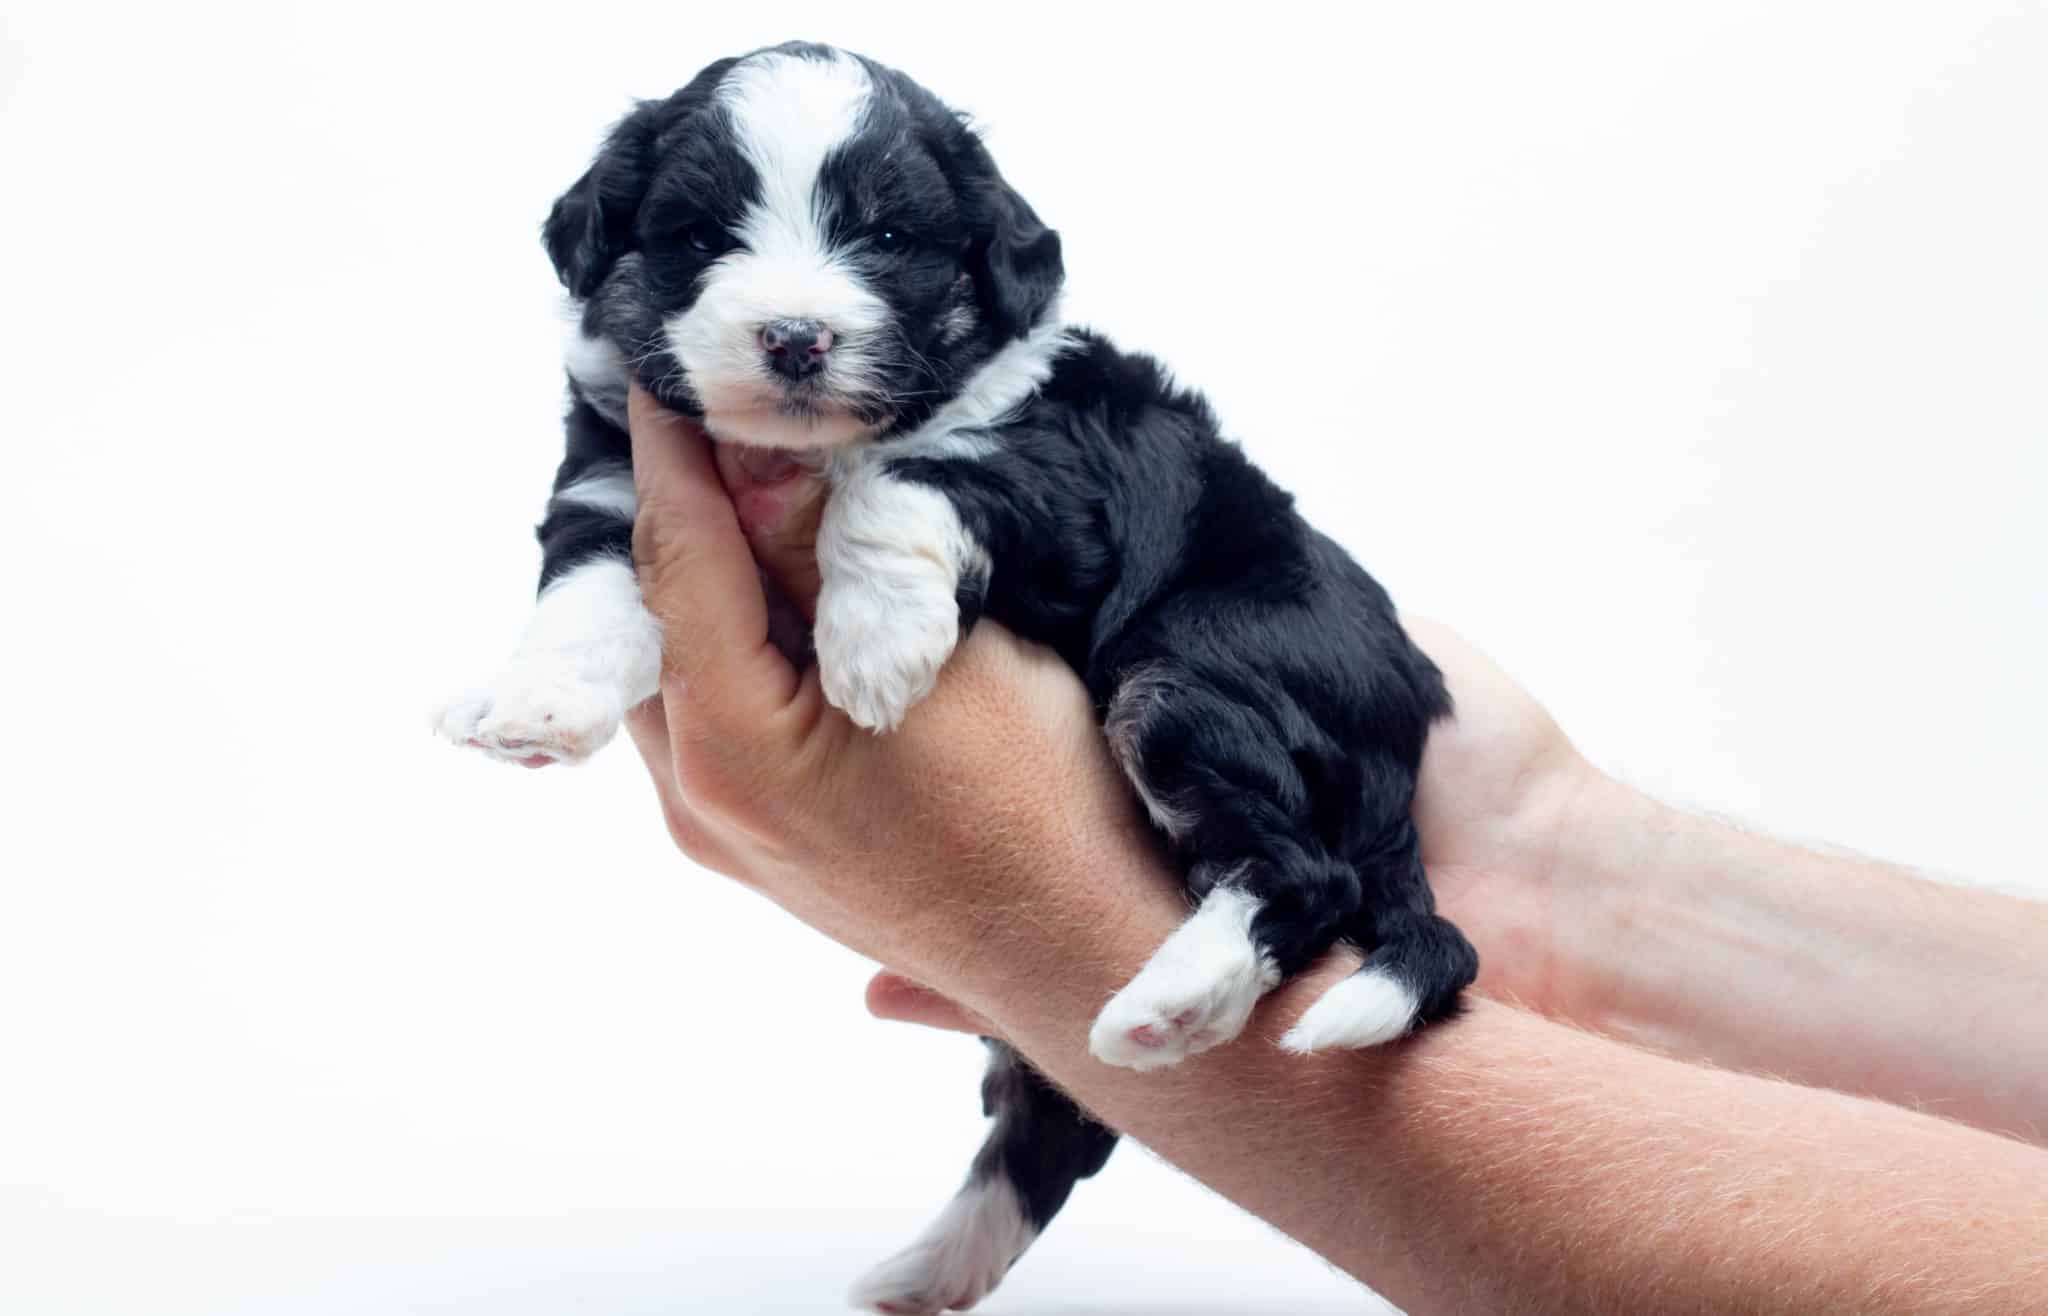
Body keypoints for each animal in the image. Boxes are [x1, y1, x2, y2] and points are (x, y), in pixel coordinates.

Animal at [437, 41, 1478, 1314]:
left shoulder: (1051, 479)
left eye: (886, 237)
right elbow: (584, 582)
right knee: (1053, 1123)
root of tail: (1404, 741)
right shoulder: (619, 474)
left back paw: (1168, 1000)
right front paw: (539, 701)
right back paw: (928, 1268)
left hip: (1195, 680)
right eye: (697, 233)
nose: (795, 336)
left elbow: (904, 475)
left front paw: (874, 643)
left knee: (1299, 872)